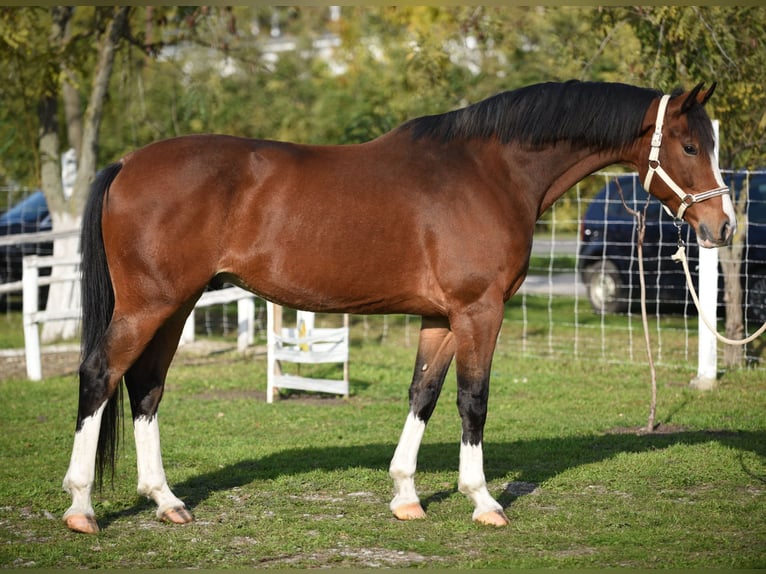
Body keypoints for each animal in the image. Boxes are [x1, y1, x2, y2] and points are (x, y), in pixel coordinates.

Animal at [63, 80, 736, 536]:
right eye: (687, 145)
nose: (723, 226)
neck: (489, 171)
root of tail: (129, 163)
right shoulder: (478, 311)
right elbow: (473, 400)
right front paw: (484, 501)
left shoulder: (441, 318)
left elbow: (424, 395)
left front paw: (406, 496)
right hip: (150, 305)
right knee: (100, 375)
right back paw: (81, 507)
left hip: (175, 307)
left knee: (146, 388)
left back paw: (167, 501)